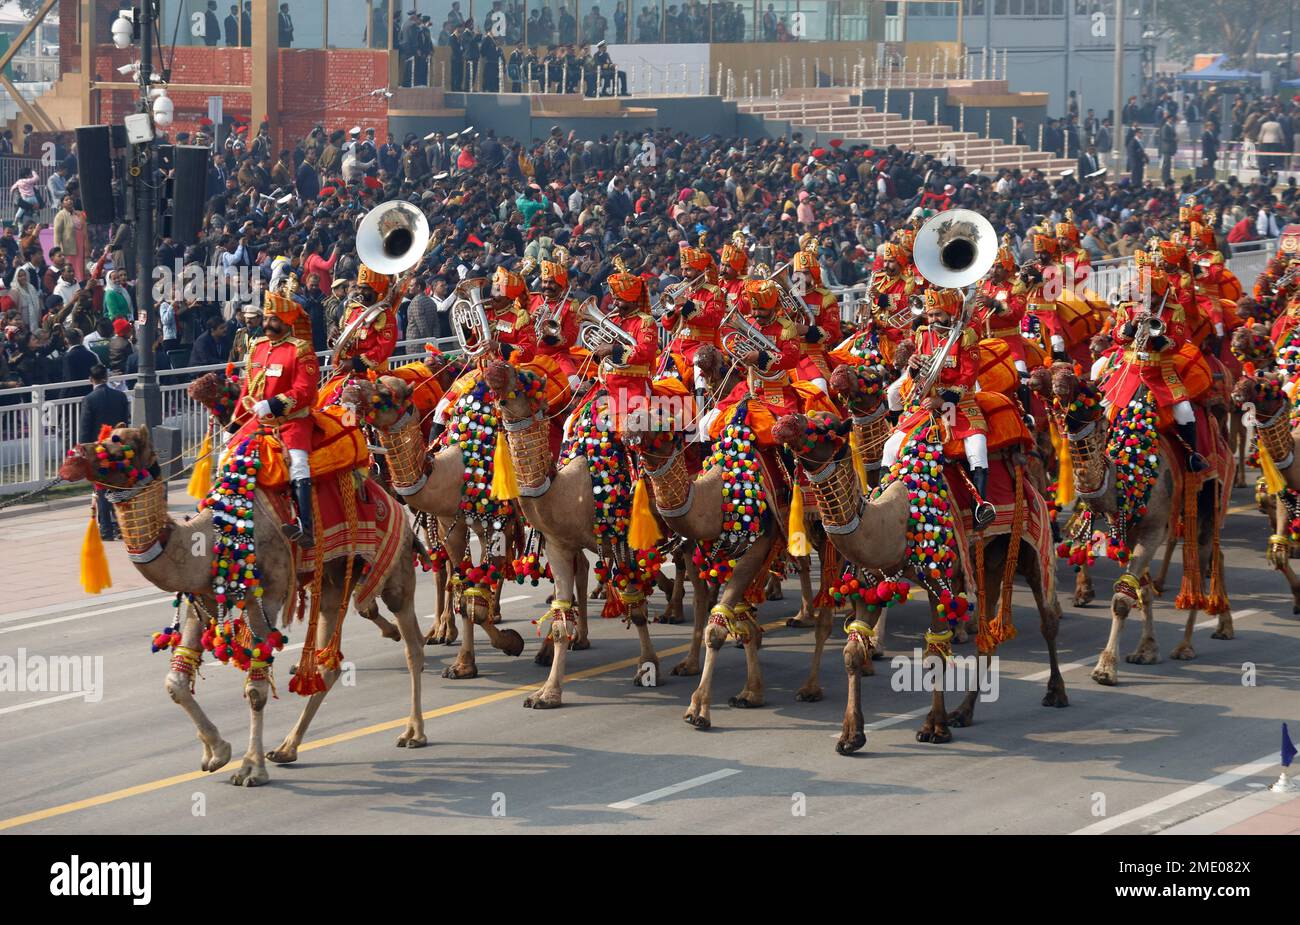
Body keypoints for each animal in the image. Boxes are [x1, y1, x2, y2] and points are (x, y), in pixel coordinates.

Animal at [61, 426, 426, 789]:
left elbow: (255, 689)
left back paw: (413, 732)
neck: (213, 537)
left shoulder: (266, 597)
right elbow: (175, 681)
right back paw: (287, 748)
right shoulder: (201, 599)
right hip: (333, 578)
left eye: (121, 442)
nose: (73, 457)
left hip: (393, 566)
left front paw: (250, 768)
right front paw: (215, 752)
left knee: (412, 646)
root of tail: (387, 496)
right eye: (104, 434)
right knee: (329, 662)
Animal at [343, 371, 530, 675]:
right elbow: (464, 590)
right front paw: (464, 664)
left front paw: (510, 642)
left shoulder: (497, 520)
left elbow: (475, 598)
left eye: (385, 393)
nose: (349, 393)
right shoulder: (448, 522)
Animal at [483, 361, 665, 706]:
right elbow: (559, 622)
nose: (493, 368)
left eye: (529, 378)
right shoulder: (558, 545)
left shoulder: (622, 542)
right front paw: (546, 694)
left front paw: (649, 668)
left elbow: (636, 610)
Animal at [1029, 363, 1232, 680]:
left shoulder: (1153, 529)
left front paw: (1105, 668)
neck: (1129, 473)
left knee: (1200, 563)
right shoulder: (1128, 528)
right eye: (1050, 374)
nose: (1037, 377)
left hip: (1209, 500)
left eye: (1080, 384)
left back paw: (1186, 645)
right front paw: (1146, 650)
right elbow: (1142, 592)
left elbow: (1121, 600)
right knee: (1216, 555)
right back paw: (1224, 626)